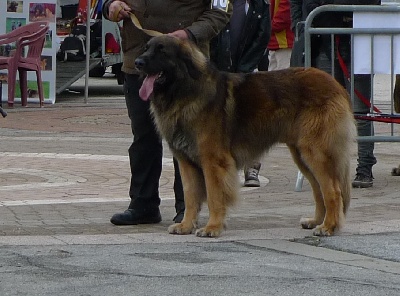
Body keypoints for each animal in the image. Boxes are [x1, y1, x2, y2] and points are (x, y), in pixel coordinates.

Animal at [135, 35, 356, 238]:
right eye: (146, 48)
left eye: (162, 51)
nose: (137, 62)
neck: (185, 92)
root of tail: (337, 85)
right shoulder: (186, 162)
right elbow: (190, 196)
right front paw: (186, 225)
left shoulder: (213, 161)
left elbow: (214, 197)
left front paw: (212, 228)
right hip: (301, 154)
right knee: (319, 190)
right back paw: (316, 221)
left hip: (315, 152)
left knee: (333, 191)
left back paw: (328, 227)